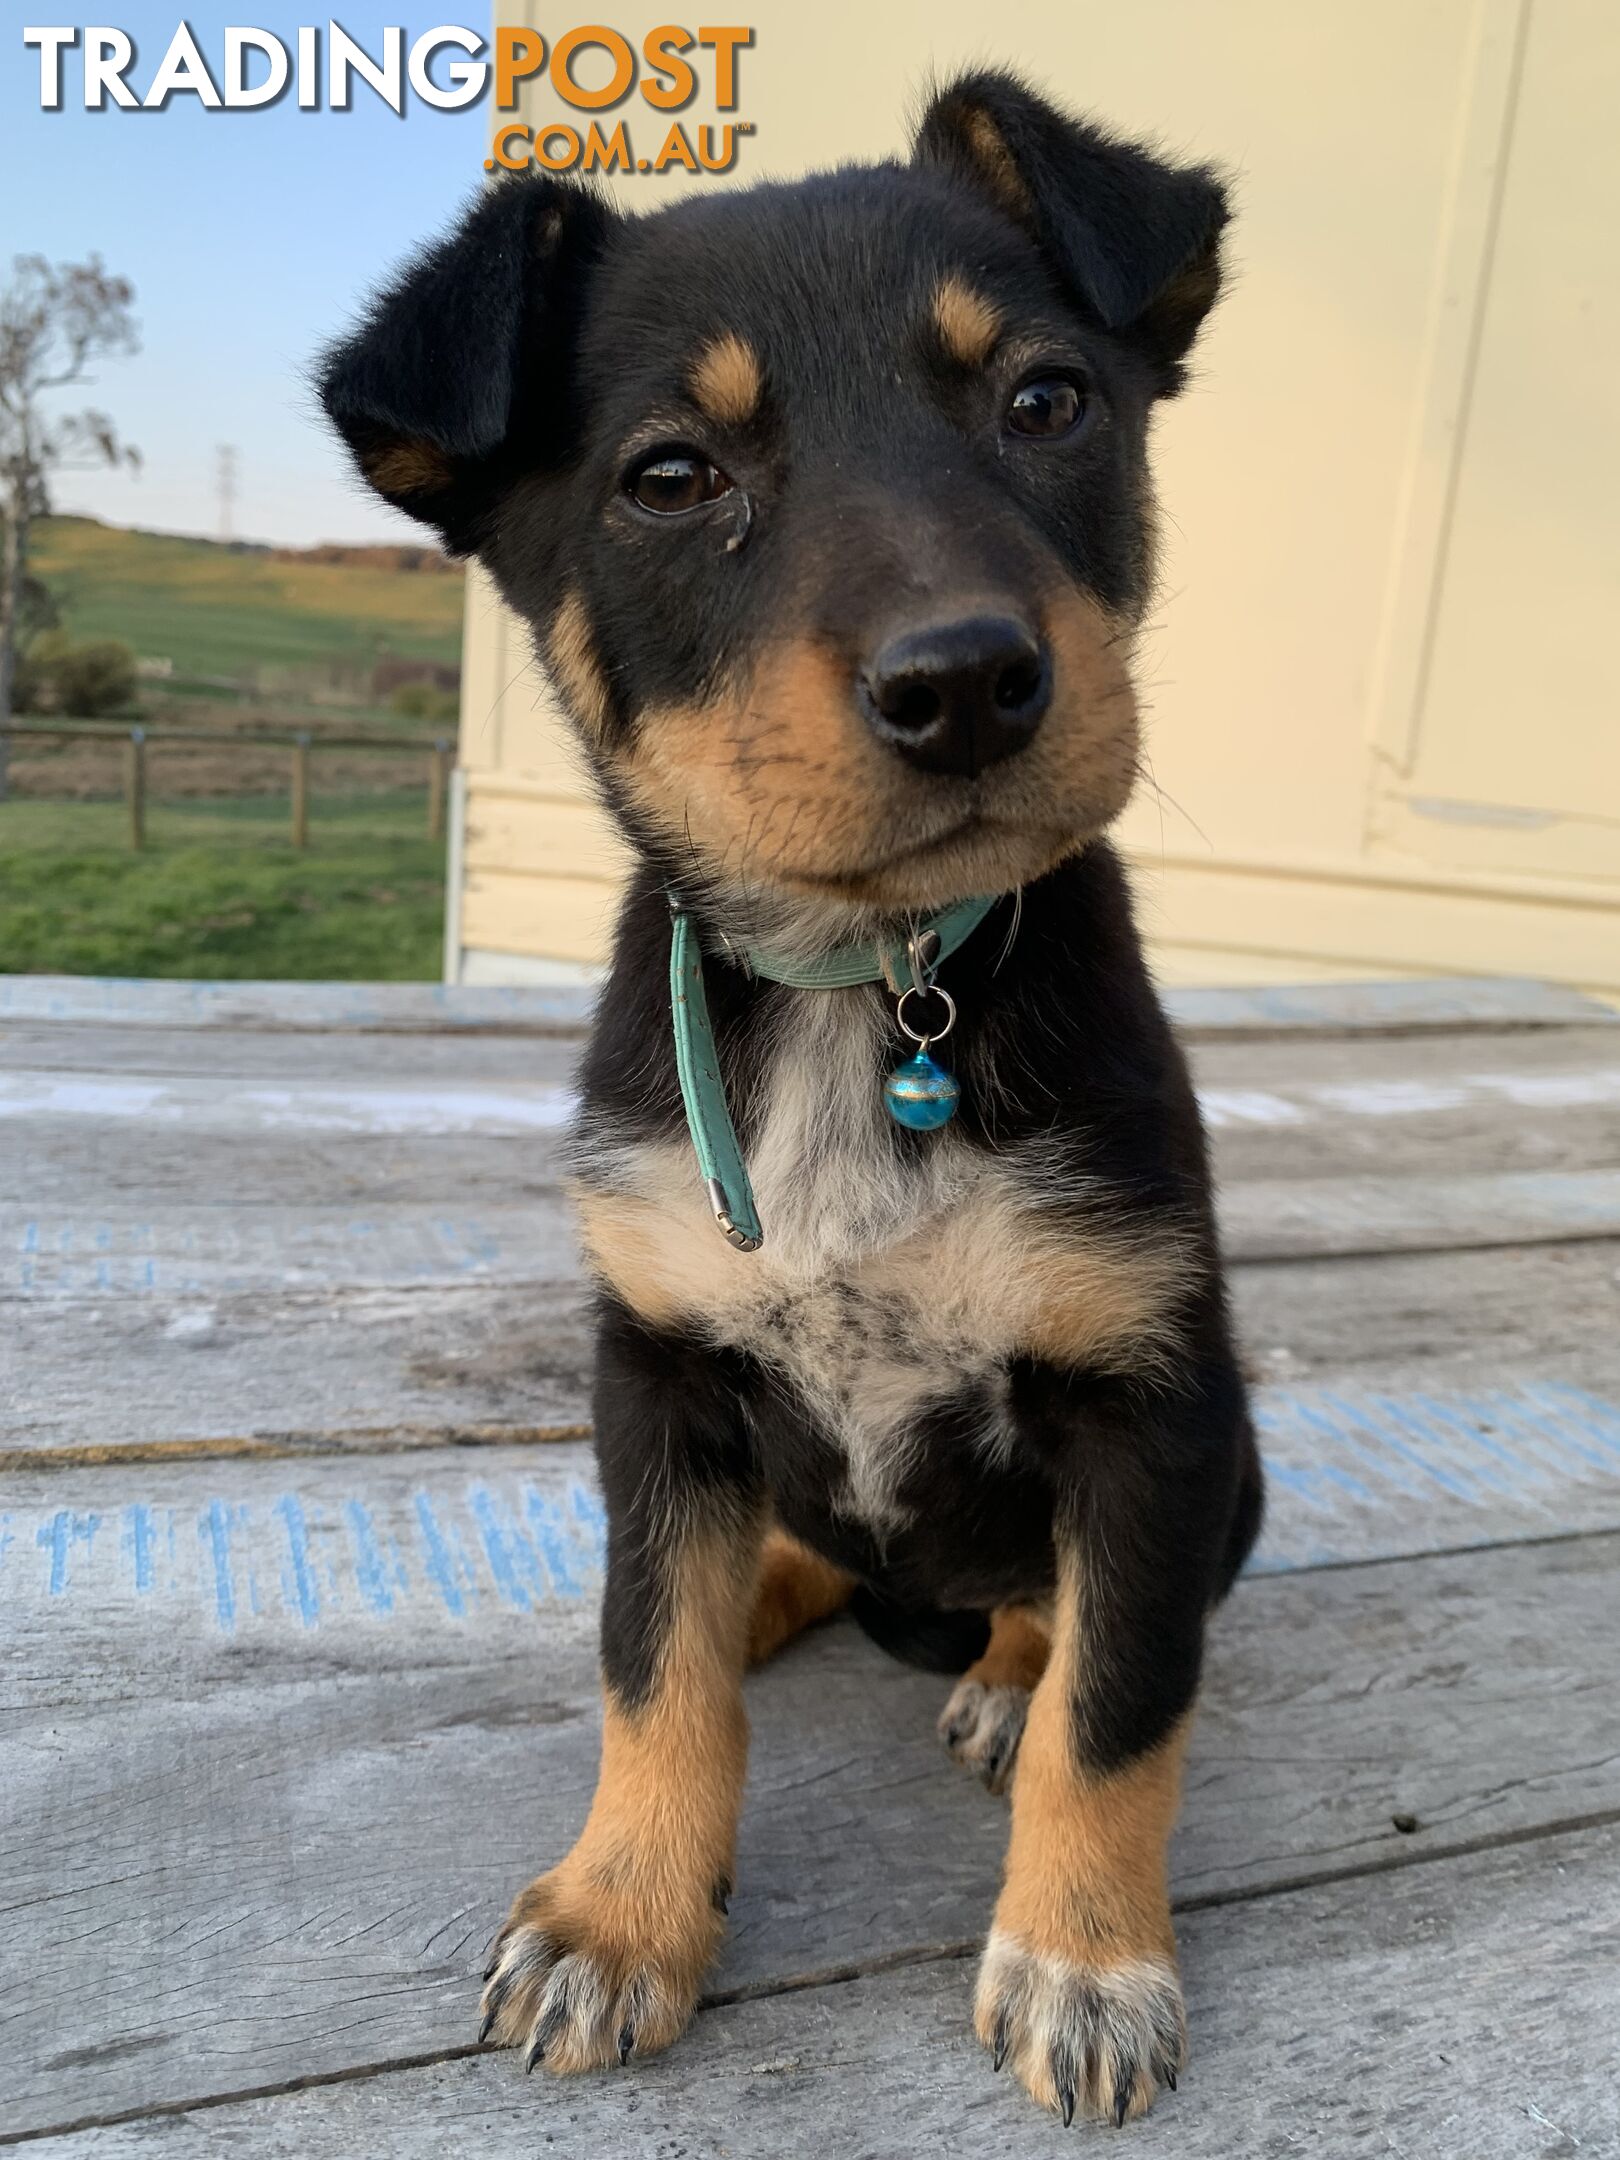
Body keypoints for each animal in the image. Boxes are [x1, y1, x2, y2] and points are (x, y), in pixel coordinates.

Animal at [324, 67, 1261, 2125]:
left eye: (1046, 401)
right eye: (671, 479)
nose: (968, 682)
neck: (868, 988)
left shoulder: (1149, 1396)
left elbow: (1124, 1710)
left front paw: (1087, 1963)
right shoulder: (660, 1365)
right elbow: (650, 1667)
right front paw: (619, 1916)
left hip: (1224, 1468)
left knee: (1055, 1618)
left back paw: (1004, 1667)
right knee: (729, 1577)